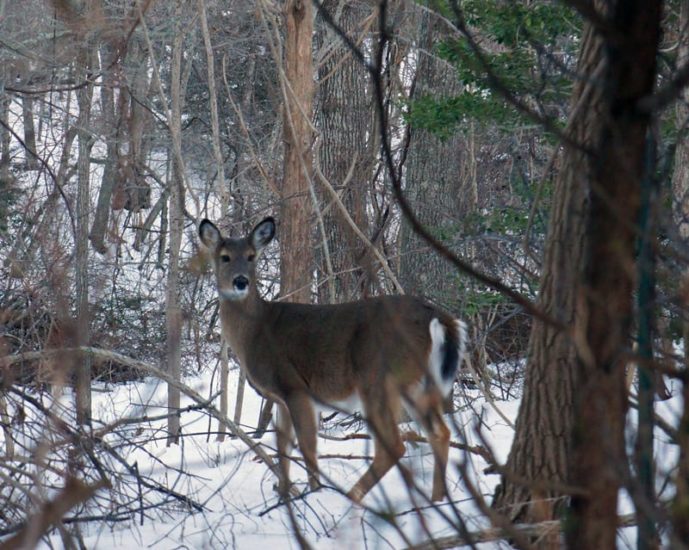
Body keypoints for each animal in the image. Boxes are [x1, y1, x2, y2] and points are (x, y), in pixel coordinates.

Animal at [199, 218, 468, 502]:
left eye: (251, 256)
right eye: (225, 257)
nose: (241, 281)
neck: (255, 330)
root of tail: (439, 317)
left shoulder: (295, 387)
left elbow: (307, 446)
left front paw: (312, 493)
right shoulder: (281, 399)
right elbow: (283, 446)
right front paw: (284, 496)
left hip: (379, 380)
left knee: (394, 446)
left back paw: (352, 497)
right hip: (418, 383)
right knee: (440, 432)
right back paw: (437, 500)